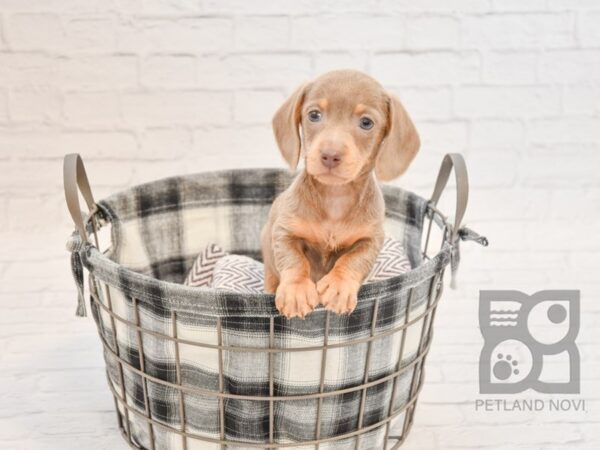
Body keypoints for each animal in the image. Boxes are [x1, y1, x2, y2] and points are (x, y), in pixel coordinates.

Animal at [260, 68, 420, 318]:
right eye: (314, 115)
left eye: (366, 122)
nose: (330, 155)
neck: (335, 198)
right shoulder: (283, 231)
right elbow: (294, 260)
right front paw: (296, 289)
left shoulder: (371, 240)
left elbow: (352, 260)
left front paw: (339, 286)